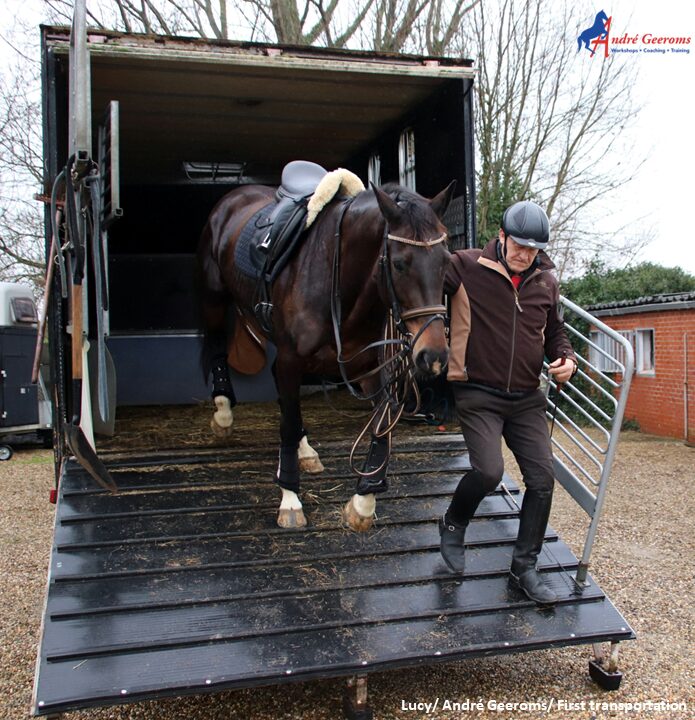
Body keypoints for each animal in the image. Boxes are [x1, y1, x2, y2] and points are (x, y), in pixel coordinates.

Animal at [198, 170, 454, 528]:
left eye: (445, 260)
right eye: (399, 264)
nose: (434, 357)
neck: (340, 286)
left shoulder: (371, 368)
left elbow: (381, 426)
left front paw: (363, 501)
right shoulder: (291, 359)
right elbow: (289, 422)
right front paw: (290, 497)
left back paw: (306, 451)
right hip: (214, 298)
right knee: (219, 347)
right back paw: (223, 413)